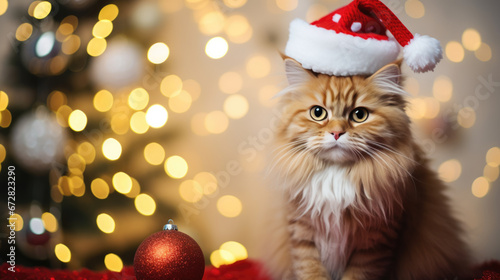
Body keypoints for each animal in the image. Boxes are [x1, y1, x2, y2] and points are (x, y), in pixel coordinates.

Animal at [268, 57, 470, 280]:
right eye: (318, 113)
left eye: (359, 115)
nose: (336, 133)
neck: (336, 175)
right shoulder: (302, 233)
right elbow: (310, 271)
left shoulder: (376, 240)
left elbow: (358, 274)